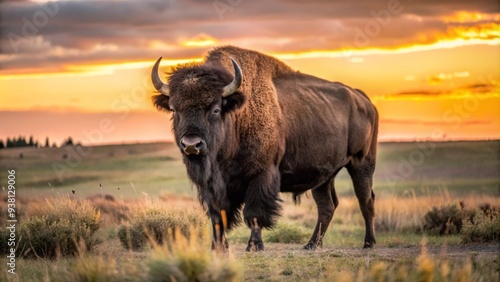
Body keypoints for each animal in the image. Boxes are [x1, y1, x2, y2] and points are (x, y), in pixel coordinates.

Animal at [150, 46, 376, 251]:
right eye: (174, 109)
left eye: (215, 109)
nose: (191, 144)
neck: (238, 116)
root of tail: (364, 100)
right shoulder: (211, 185)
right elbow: (217, 215)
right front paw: (217, 247)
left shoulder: (262, 175)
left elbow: (255, 213)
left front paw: (254, 246)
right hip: (324, 177)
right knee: (327, 206)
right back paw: (311, 245)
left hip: (361, 164)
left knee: (365, 200)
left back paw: (368, 243)